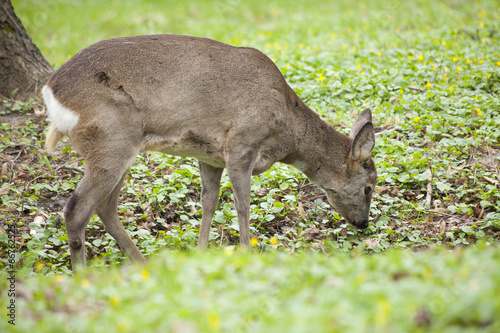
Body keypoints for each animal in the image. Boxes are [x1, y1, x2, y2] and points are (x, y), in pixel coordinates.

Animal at [43, 34, 376, 270]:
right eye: (369, 188)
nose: (363, 224)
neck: (286, 130)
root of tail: (51, 91)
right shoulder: (241, 144)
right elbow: (243, 205)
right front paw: (247, 252)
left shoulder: (209, 156)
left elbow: (209, 203)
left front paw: (201, 253)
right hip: (111, 139)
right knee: (76, 210)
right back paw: (83, 276)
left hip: (121, 147)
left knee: (105, 207)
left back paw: (144, 265)